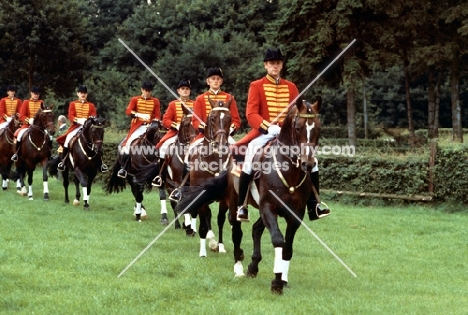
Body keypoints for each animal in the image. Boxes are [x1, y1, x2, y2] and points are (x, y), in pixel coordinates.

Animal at [174, 97, 324, 294]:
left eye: (318, 128)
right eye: (298, 127)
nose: (308, 163)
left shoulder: (295, 214)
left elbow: (287, 247)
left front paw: (283, 279)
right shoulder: (268, 207)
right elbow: (278, 240)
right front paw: (276, 282)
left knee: (255, 229)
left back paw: (252, 266)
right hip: (234, 204)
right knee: (236, 231)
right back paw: (237, 267)